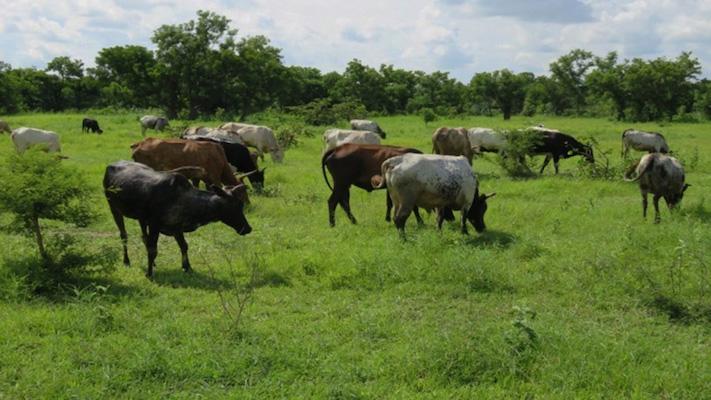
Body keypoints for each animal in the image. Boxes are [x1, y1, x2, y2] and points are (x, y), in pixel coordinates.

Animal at [103, 161, 251, 279]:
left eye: (241, 204)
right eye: (233, 206)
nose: (248, 228)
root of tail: (112, 164)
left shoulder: (176, 227)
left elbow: (184, 246)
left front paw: (187, 267)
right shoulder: (155, 224)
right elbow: (153, 249)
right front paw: (149, 274)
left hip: (141, 219)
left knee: (144, 237)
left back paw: (153, 263)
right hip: (113, 208)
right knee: (124, 235)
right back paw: (126, 261)